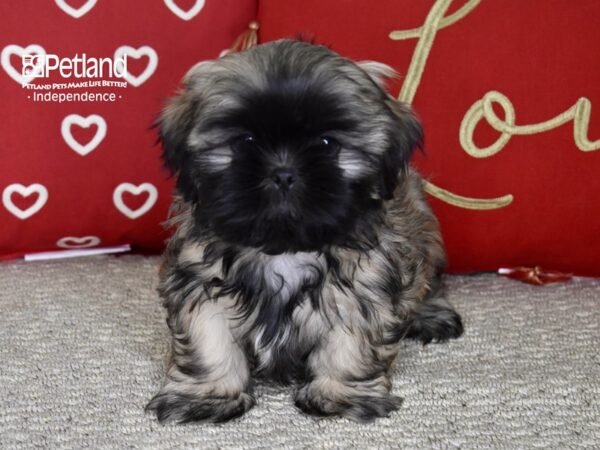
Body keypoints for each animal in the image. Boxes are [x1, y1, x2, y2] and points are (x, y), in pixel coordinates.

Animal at [146, 38, 464, 422]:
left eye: (326, 144)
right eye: (245, 142)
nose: (283, 173)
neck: (284, 246)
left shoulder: (364, 287)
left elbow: (350, 346)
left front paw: (340, 395)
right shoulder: (199, 281)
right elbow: (209, 341)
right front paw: (206, 395)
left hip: (426, 232)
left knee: (429, 282)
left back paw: (432, 315)